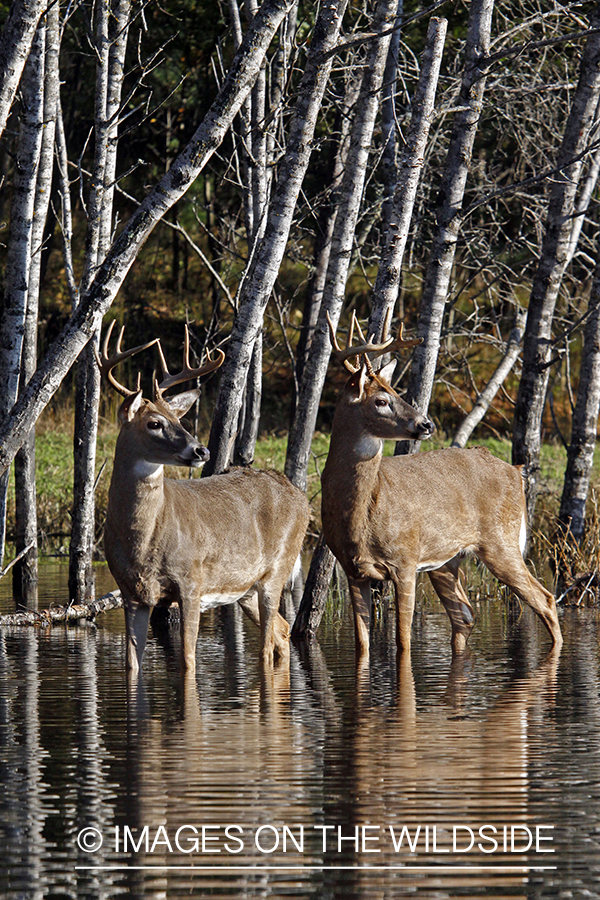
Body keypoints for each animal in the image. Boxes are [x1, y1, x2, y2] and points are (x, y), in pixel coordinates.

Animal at [98, 324, 310, 676]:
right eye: (154, 423)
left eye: (180, 421)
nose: (201, 450)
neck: (142, 539)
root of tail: (302, 498)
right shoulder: (132, 593)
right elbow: (132, 666)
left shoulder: (191, 581)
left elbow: (187, 661)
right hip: (245, 588)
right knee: (281, 632)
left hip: (277, 569)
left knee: (268, 644)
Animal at [324, 316, 564, 660]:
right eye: (381, 400)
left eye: (399, 392)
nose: (426, 424)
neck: (360, 516)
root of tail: (515, 472)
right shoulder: (352, 569)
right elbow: (362, 644)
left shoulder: (405, 560)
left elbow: (403, 640)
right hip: (448, 560)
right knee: (464, 615)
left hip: (500, 541)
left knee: (544, 599)